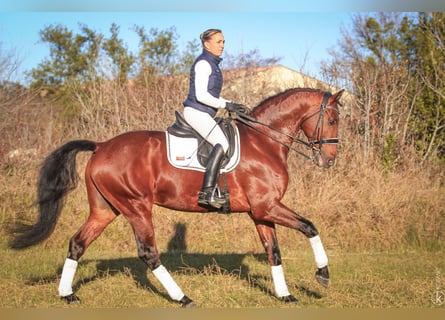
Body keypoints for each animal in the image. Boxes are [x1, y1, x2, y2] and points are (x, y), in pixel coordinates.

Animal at [10, 87, 344, 308]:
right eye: (332, 120)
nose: (329, 161)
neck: (264, 142)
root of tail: (101, 146)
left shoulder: (260, 212)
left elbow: (274, 252)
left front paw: (285, 295)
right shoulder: (268, 207)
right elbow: (310, 227)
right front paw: (323, 274)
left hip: (105, 210)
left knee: (78, 243)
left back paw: (67, 295)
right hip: (136, 207)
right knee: (148, 253)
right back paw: (183, 297)